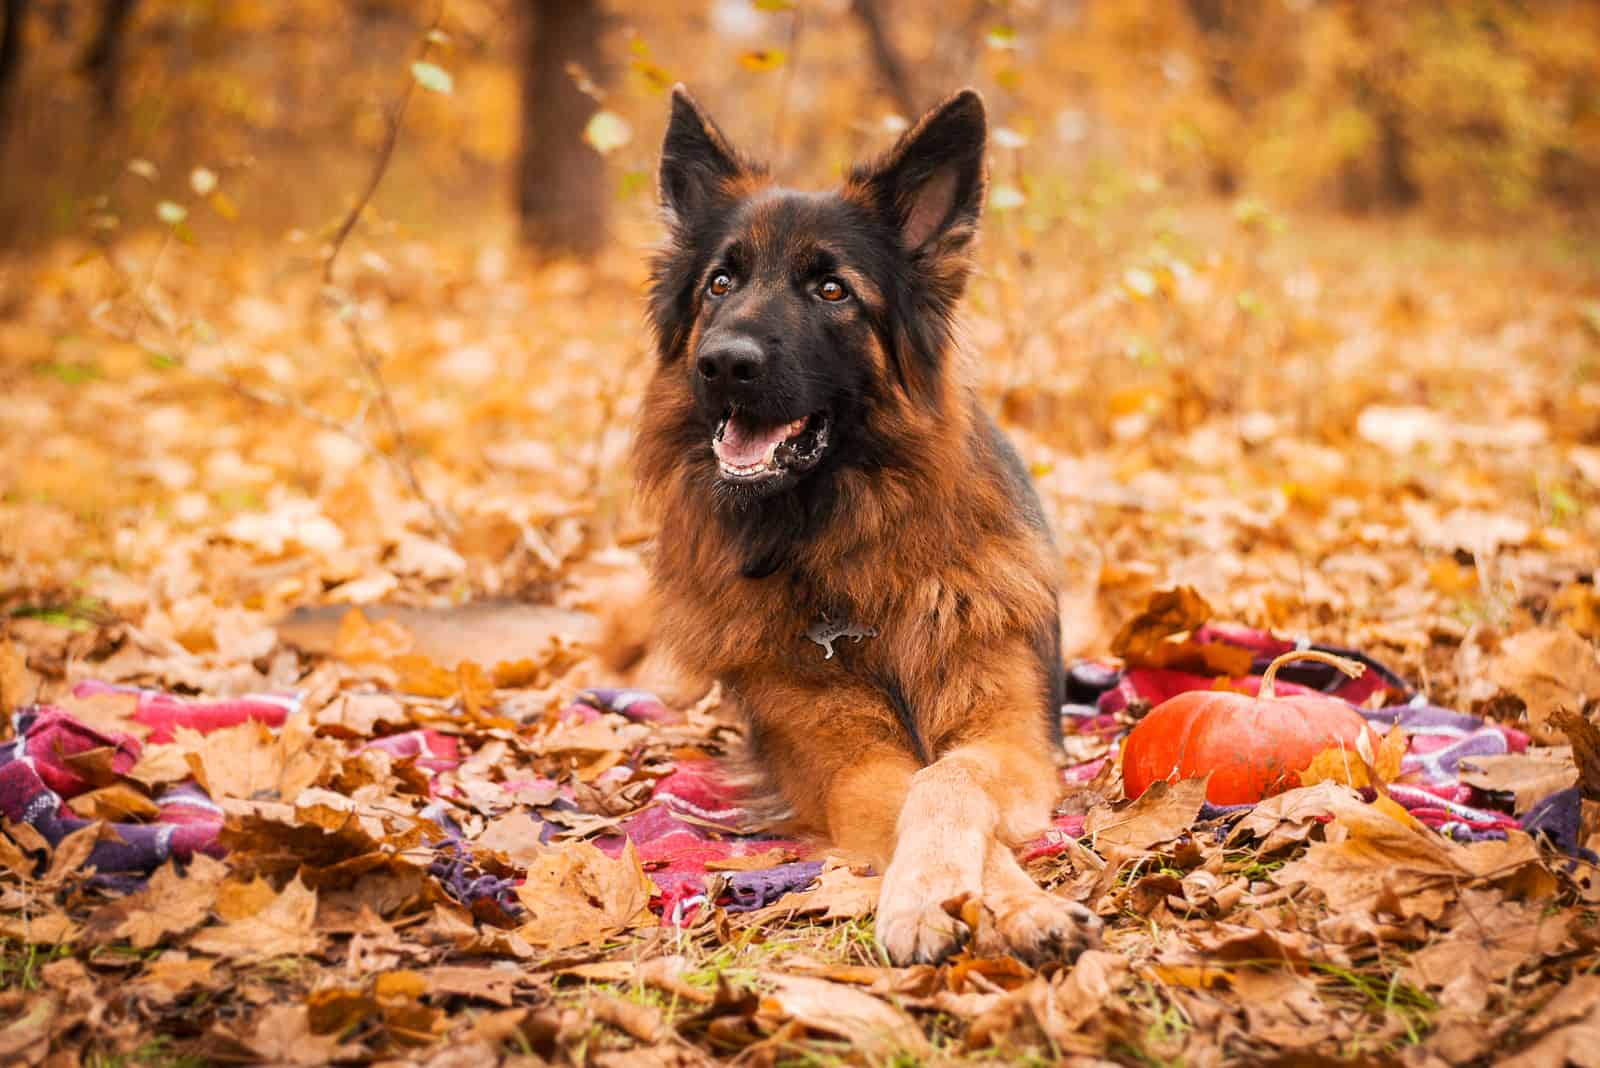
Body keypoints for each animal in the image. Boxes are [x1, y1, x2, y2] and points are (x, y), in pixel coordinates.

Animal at [633, 87, 1100, 965]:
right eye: (719, 282)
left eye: (832, 291)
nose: (723, 363)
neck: (854, 549)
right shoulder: (846, 764)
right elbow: (916, 789)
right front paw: (953, 902)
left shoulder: (1012, 734)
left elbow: (945, 782)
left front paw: (981, 902)